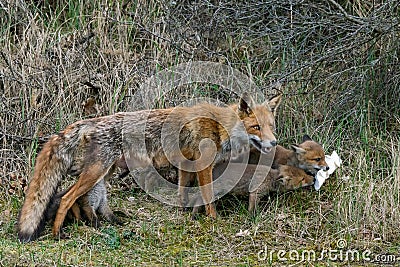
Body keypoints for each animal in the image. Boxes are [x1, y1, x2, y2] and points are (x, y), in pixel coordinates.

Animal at [17, 93, 282, 242]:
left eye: (271, 126)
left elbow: (183, 193)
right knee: (65, 198)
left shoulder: (186, 164)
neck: (220, 128)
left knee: (78, 197)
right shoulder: (203, 166)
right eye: (256, 127)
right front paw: (213, 221)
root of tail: (92, 121)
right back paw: (57, 233)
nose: (274, 143)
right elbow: (208, 197)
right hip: (95, 172)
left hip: (104, 173)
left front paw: (184, 214)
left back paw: (103, 222)